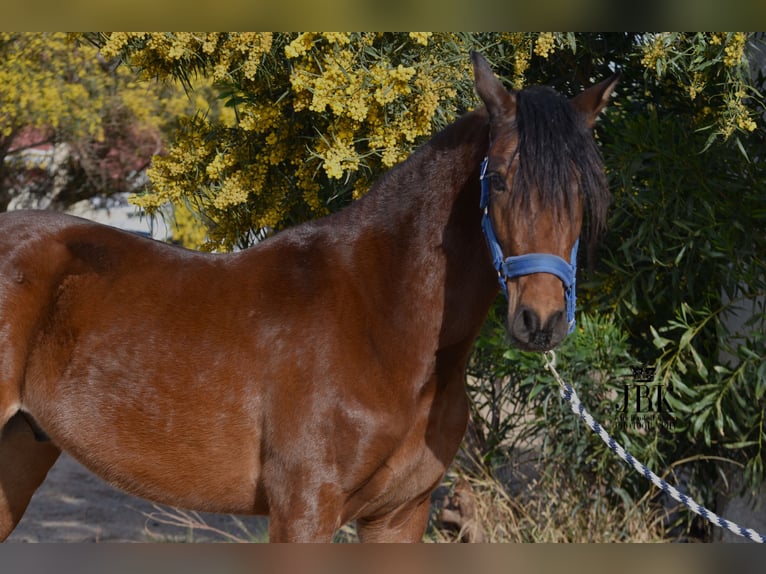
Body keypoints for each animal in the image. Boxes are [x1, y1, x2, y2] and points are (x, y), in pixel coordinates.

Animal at [0, 53, 616, 544]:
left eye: (582, 191)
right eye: (503, 180)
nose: (541, 320)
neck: (384, 322)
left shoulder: (400, 515)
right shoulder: (305, 508)